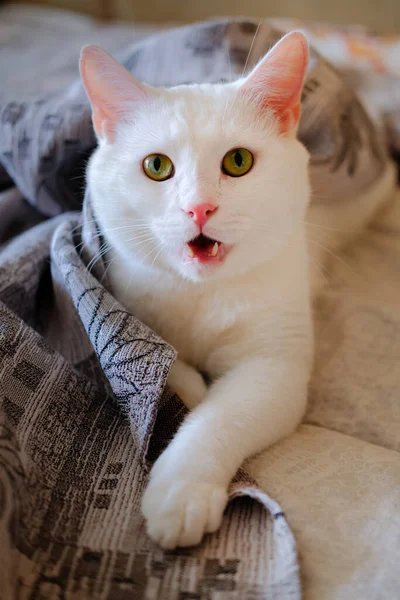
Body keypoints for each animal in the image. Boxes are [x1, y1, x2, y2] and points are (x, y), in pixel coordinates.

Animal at [79, 31, 396, 548]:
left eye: (238, 161)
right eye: (156, 166)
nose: (199, 208)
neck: (201, 295)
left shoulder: (274, 367)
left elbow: (219, 416)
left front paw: (181, 492)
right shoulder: (124, 317)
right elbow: (171, 367)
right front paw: (191, 388)